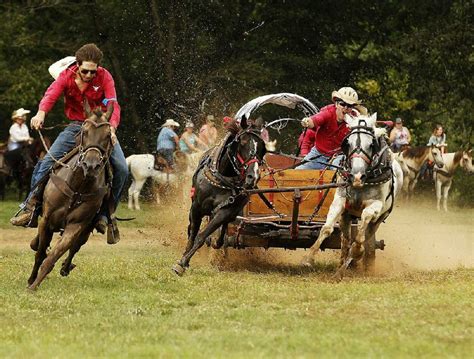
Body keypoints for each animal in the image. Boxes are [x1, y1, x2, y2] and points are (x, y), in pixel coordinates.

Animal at [27, 103, 114, 290]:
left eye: (107, 135)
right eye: (84, 132)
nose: (91, 165)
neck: (77, 188)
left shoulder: (75, 226)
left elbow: (54, 255)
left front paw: (34, 286)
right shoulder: (46, 220)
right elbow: (40, 253)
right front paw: (31, 280)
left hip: (86, 228)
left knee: (74, 248)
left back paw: (66, 267)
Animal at [172, 118, 266, 276]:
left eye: (263, 148)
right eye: (243, 142)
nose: (253, 176)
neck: (223, 178)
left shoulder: (225, 212)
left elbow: (202, 235)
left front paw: (184, 262)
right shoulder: (196, 207)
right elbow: (193, 233)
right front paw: (182, 260)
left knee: (223, 230)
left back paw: (217, 241)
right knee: (192, 228)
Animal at [302, 112, 402, 282]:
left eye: (371, 144)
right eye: (347, 143)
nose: (357, 176)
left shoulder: (375, 206)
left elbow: (361, 234)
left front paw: (357, 252)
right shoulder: (340, 201)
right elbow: (326, 228)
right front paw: (308, 258)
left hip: (379, 218)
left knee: (367, 237)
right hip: (346, 216)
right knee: (345, 240)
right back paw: (340, 267)